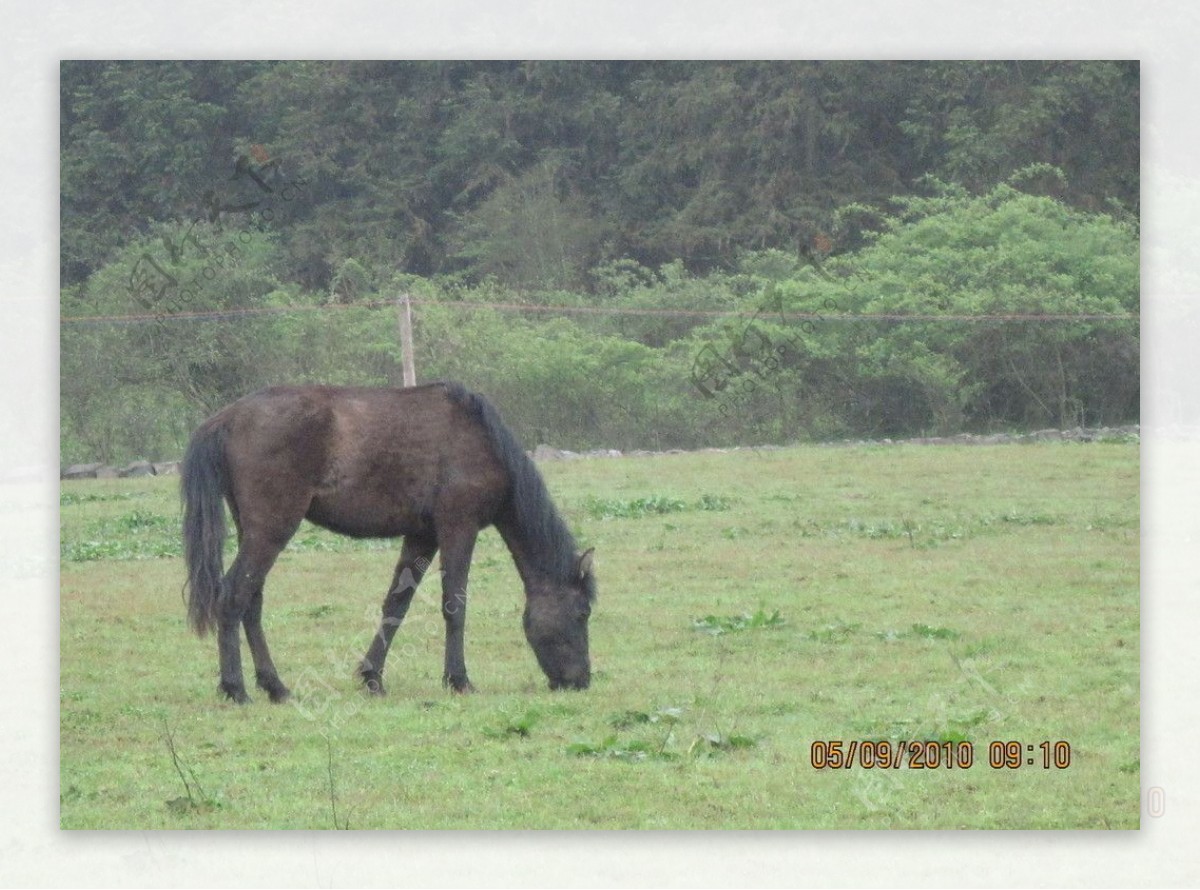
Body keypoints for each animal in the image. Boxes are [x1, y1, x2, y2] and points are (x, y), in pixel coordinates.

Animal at [178, 383, 595, 705]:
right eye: (582, 613)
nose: (581, 681)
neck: (480, 439)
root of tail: (227, 418)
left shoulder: (422, 536)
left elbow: (396, 605)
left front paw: (372, 677)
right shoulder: (458, 527)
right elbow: (454, 606)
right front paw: (458, 679)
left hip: (255, 533)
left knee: (251, 602)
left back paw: (275, 686)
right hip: (270, 531)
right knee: (233, 597)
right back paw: (236, 688)